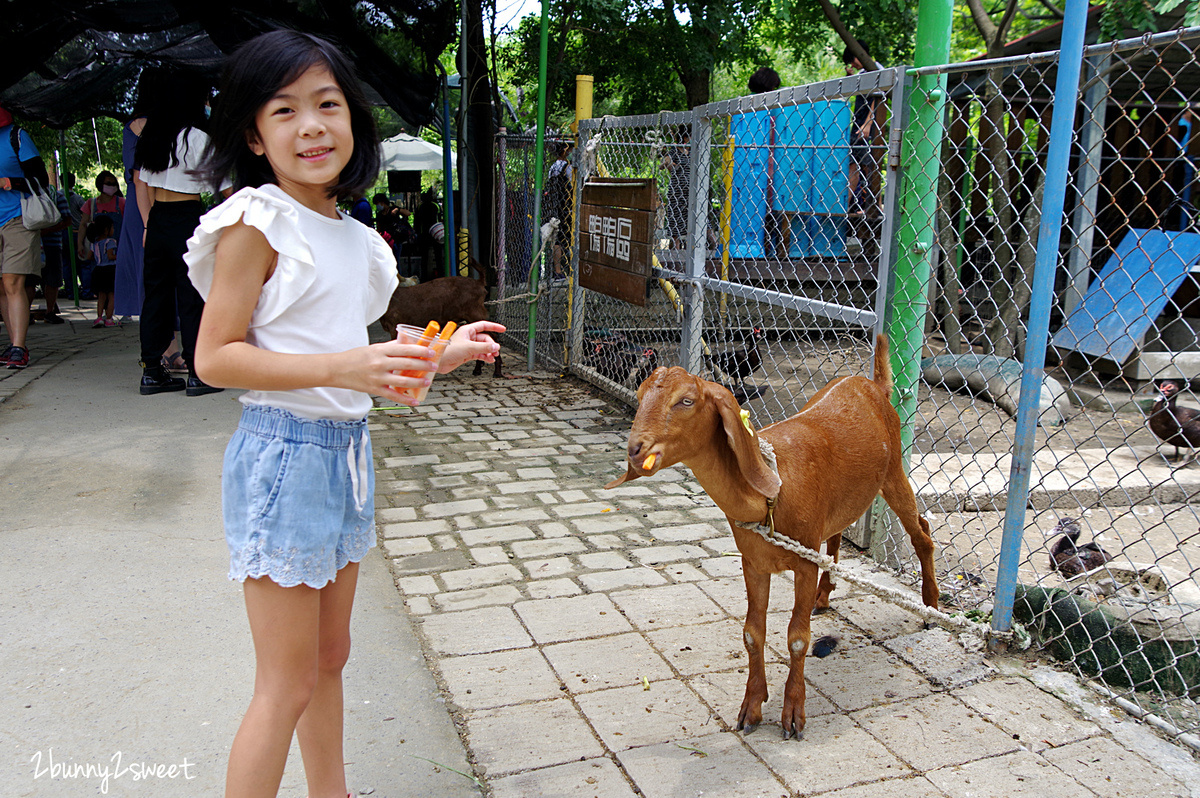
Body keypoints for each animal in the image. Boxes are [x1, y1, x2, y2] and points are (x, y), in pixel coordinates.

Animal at [609, 333, 936, 739]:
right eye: (639, 395)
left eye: (686, 400)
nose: (635, 450)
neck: (773, 492)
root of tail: (874, 385)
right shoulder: (754, 562)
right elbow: (752, 632)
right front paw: (751, 707)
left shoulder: (803, 562)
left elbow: (798, 638)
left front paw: (793, 713)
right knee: (838, 534)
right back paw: (824, 597)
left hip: (894, 472)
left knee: (922, 534)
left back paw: (931, 608)